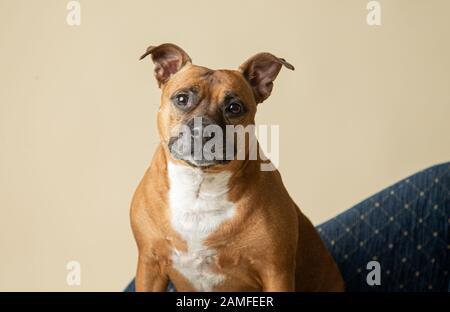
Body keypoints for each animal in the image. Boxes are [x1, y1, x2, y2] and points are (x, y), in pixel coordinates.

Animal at [131, 42, 344, 292]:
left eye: (234, 107)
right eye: (182, 99)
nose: (204, 131)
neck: (200, 187)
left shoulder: (276, 271)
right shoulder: (150, 265)